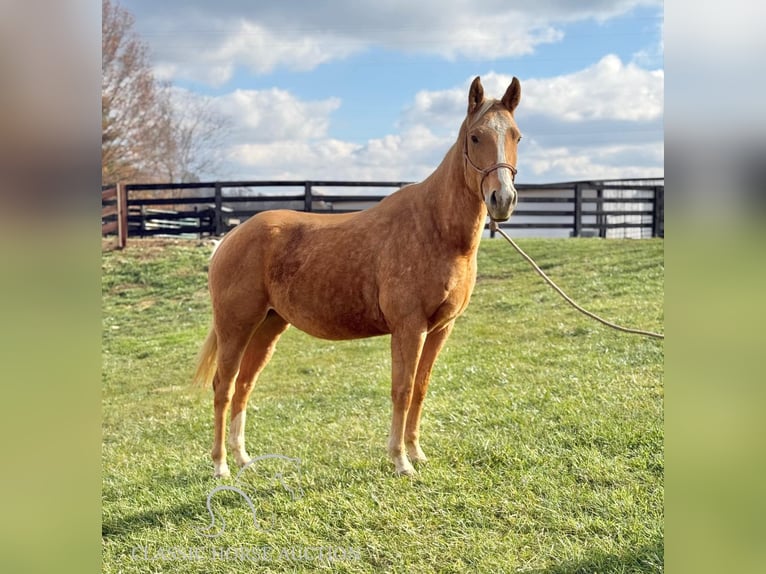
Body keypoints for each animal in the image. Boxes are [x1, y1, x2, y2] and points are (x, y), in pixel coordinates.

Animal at [195, 77, 524, 482]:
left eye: (517, 136)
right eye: (476, 137)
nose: (502, 199)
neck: (436, 229)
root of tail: (230, 237)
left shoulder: (440, 329)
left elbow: (420, 388)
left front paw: (416, 453)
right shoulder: (409, 328)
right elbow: (402, 389)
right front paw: (400, 460)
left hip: (268, 326)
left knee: (243, 385)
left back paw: (243, 460)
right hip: (236, 327)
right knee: (223, 388)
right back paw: (221, 466)